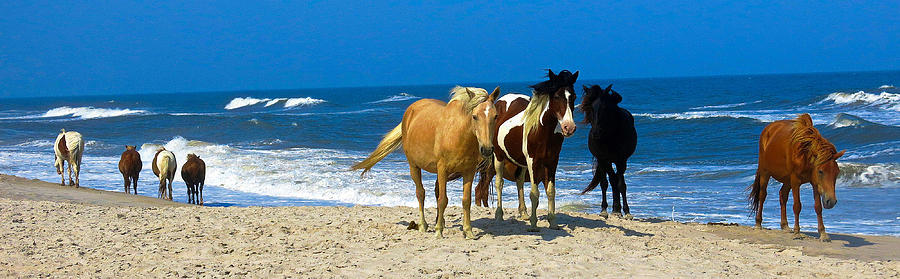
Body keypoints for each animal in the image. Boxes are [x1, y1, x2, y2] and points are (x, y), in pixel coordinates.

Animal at [352, 86, 500, 240]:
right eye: (475, 116)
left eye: (495, 116)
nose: (487, 149)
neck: (457, 134)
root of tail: (411, 110)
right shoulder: (442, 169)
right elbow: (443, 200)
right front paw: (438, 231)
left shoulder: (468, 171)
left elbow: (466, 201)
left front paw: (468, 231)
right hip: (414, 166)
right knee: (420, 193)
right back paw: (423, 225)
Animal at [478, 70, 584, 232]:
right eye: (556, 96)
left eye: (573, 96)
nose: (569, 127)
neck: (542, 131)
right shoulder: (533, 161)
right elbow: (534, 193)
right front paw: (534, 225)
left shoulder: (552, 162)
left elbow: (550, 191)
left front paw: (553, 222)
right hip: (499, 157)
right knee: (499, 183)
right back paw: (499, 215)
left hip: (521, 162)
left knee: (519, 181)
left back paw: (524, 213)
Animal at [580, 84, 636, 220]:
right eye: (590, 107)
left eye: (605, 108)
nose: (596, 133)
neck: (610, 135)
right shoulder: (603, 159)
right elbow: (606, 183)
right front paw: (605, 210)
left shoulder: (621, 160)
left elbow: (621, 184)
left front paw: (627, 212)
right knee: (609, 181)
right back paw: (613, 209)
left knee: (617, 180)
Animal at [744, 114, 844, 243]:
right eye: (821, 171)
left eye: (837, 173)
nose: (831, 201)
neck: (804, 155)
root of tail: (769, 128)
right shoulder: (796, 181)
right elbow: (797, 206)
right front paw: (797, 232)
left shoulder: (814, 183)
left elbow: (818, 207)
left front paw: (823, 234)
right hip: (765, 173)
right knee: (762, 196)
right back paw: (758, 223)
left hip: (787, 180)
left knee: (782, 195)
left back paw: (785, 226)